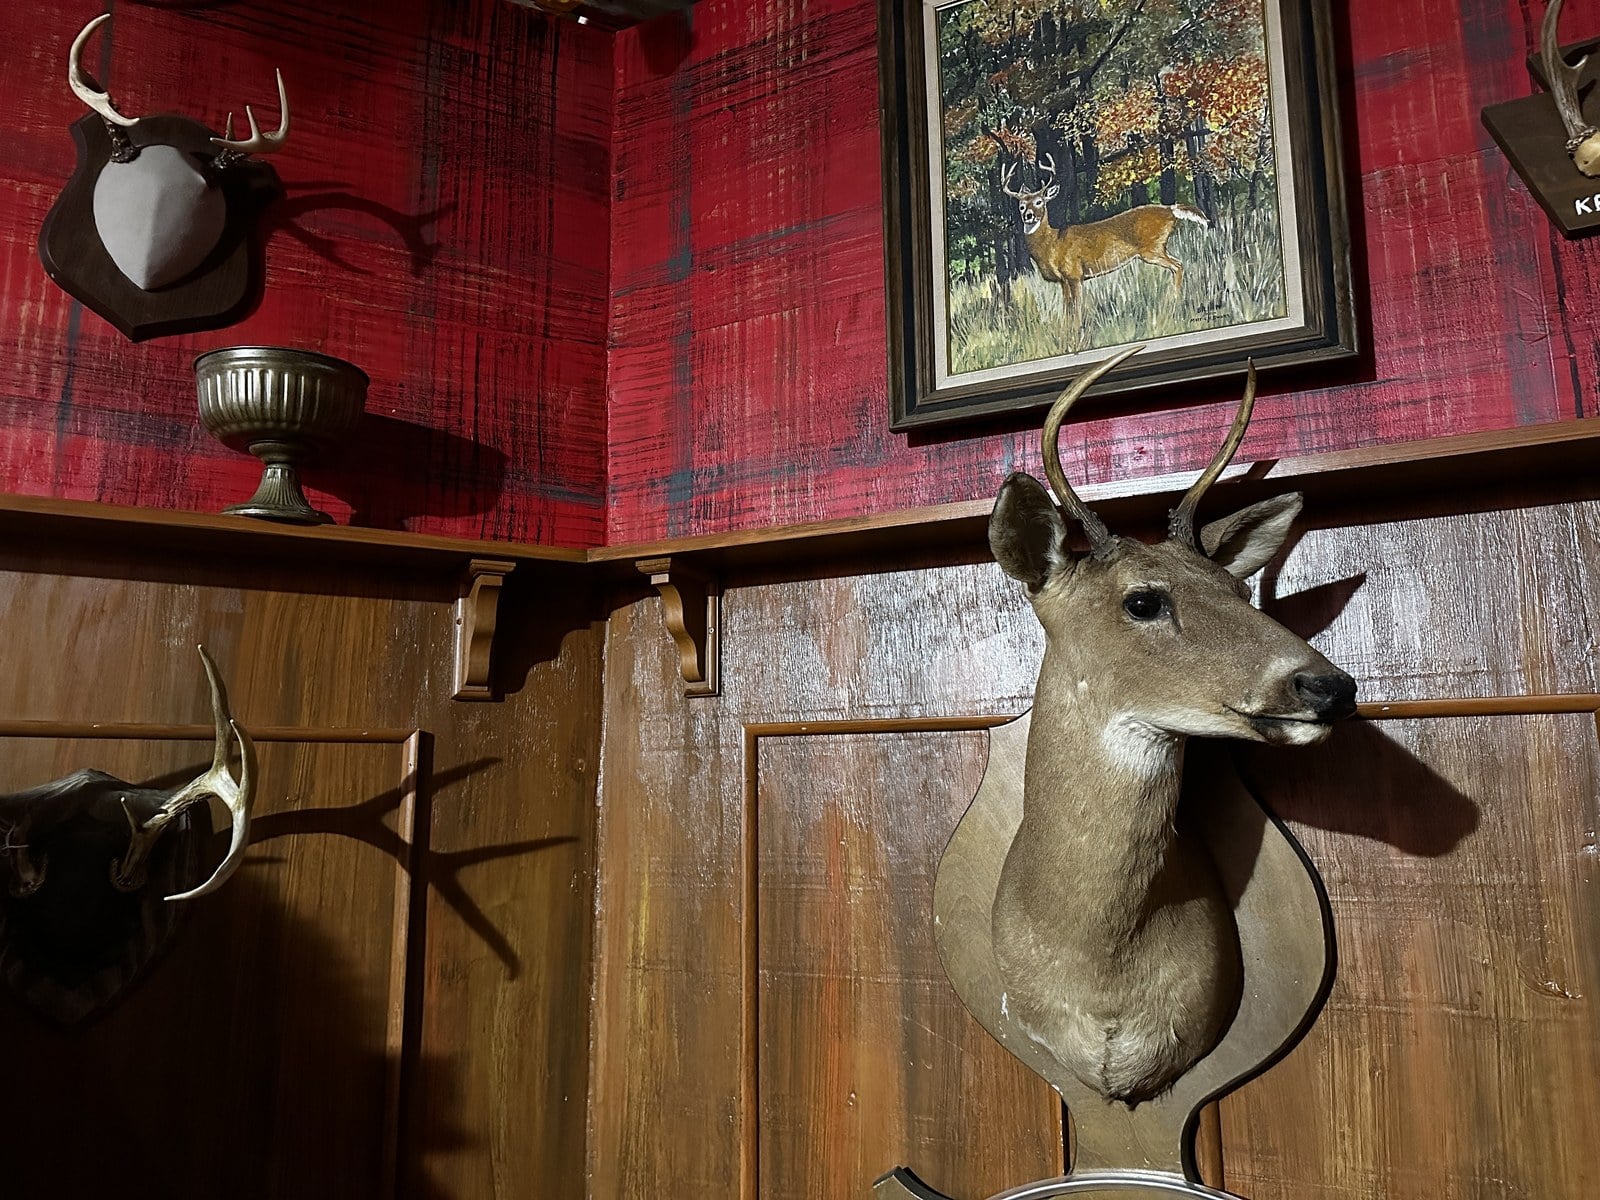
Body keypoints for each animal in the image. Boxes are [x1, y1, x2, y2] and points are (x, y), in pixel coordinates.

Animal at [1001, 155, 1208, 319]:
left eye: (1039, 202)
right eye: (1021, 205)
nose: (1028, 215)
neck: (1052, 244)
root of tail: (1170, 209)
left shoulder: (1074, 273)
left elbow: (1076, 311)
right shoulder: (1063, 280)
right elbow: (1067, 311)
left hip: (1153, 248)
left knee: (1178, 265)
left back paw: (1173, 303)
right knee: (1178, 265)